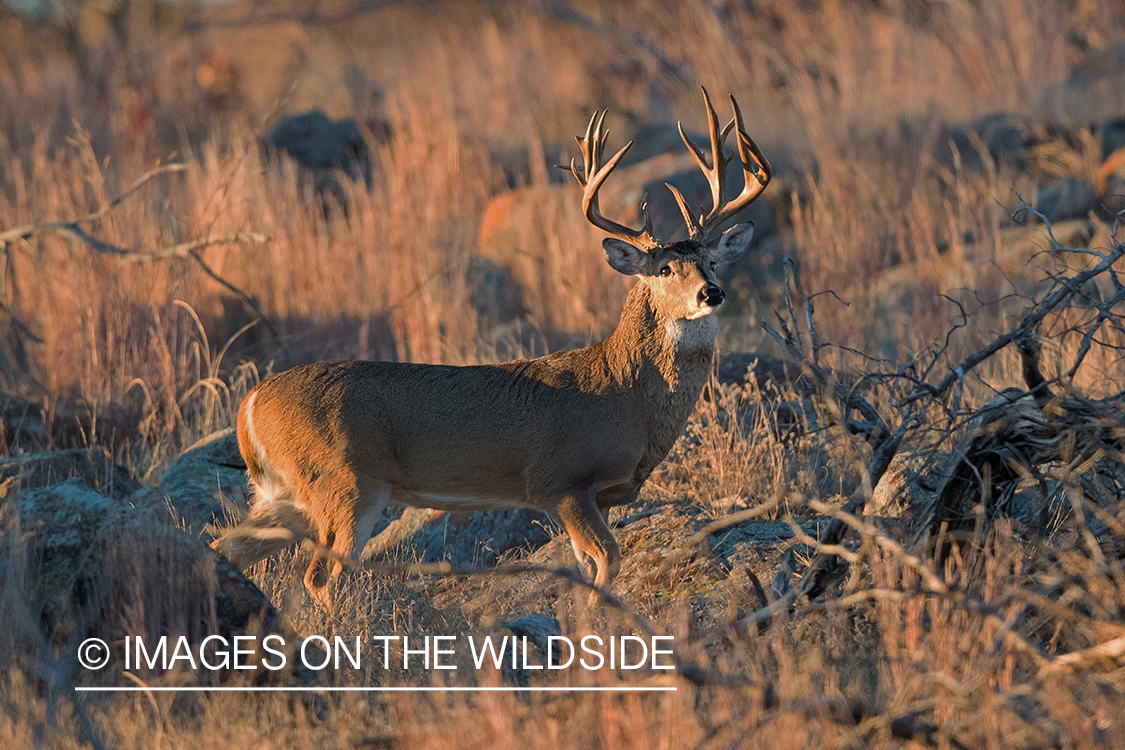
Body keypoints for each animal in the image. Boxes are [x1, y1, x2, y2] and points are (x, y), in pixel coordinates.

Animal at [211, 86, 769, 611]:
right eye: (665, 268)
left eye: (712, 262)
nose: (711, 293)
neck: (624, 395)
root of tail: (250, 404)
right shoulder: (558, 482)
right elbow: (607, 560)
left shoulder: (599, 496)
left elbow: (588, 565)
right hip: (346, 484)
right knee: (320, 576)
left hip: (284, 495)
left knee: (222, 549)